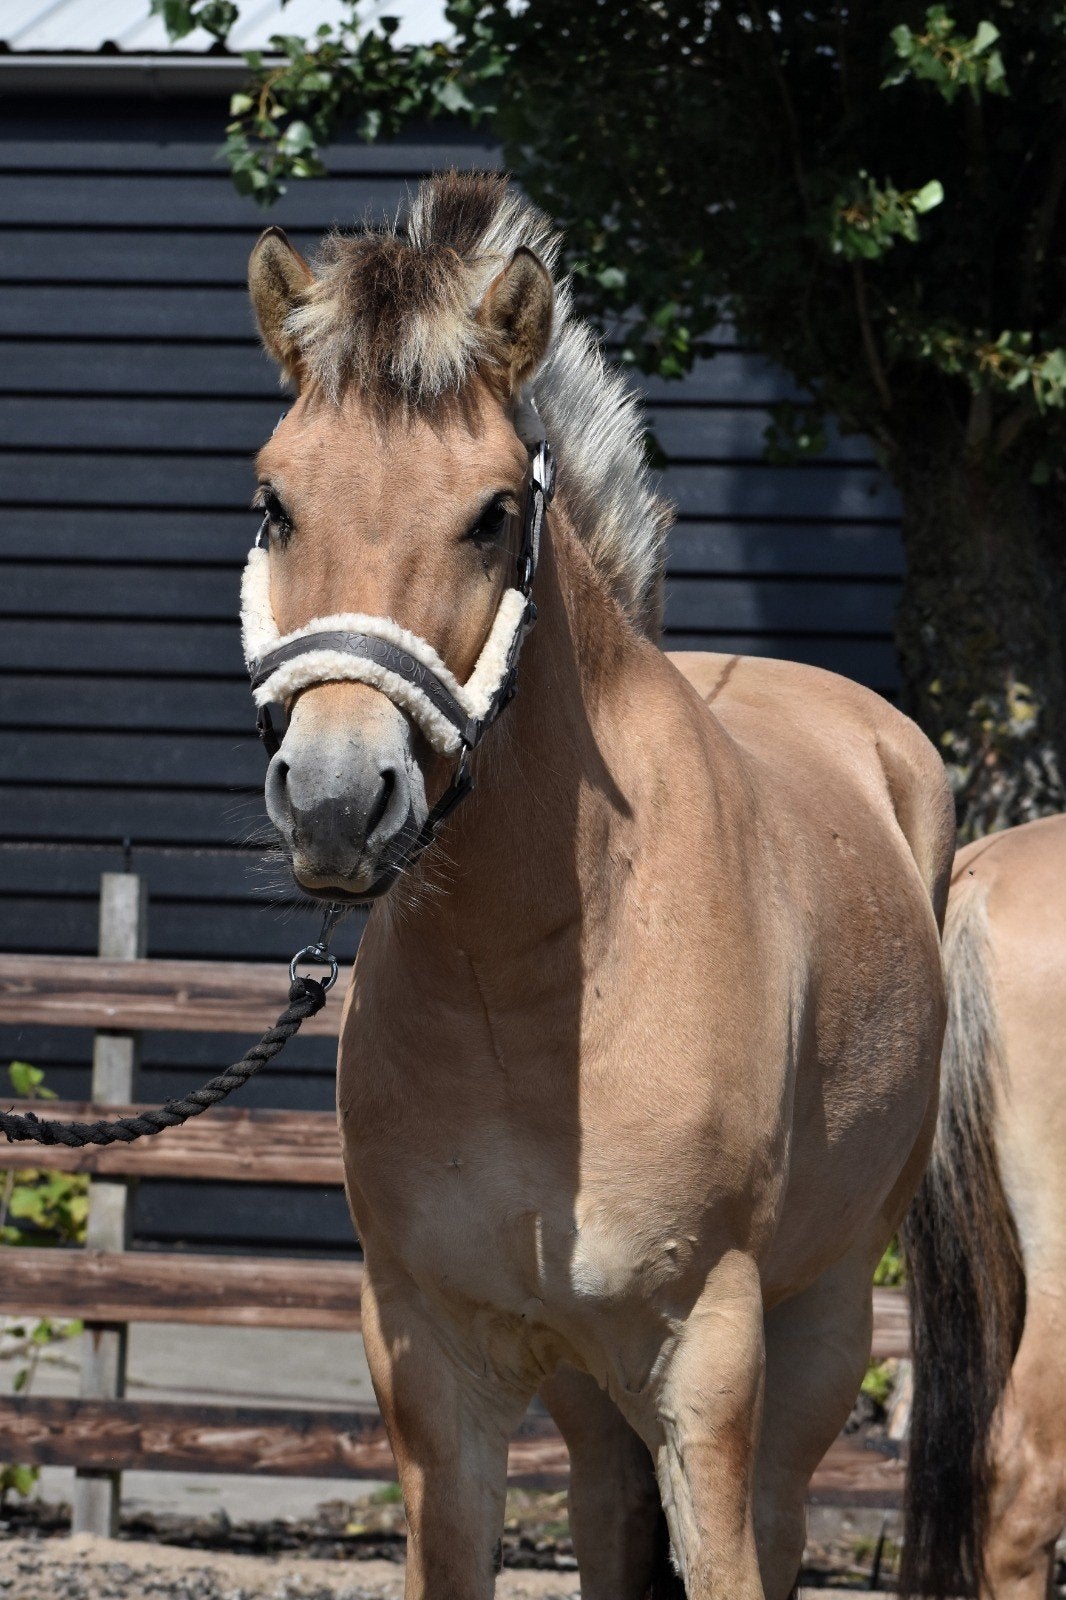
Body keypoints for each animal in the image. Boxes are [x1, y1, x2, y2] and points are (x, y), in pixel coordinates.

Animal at [239, 171, 954, 1600]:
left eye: (491, 513)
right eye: (275, 501)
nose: (338, 798)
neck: (539, 977)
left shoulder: (703, 1353)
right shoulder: (434, 1368)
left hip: (819, 1324)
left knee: (778, 1516)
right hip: (582, 1385)